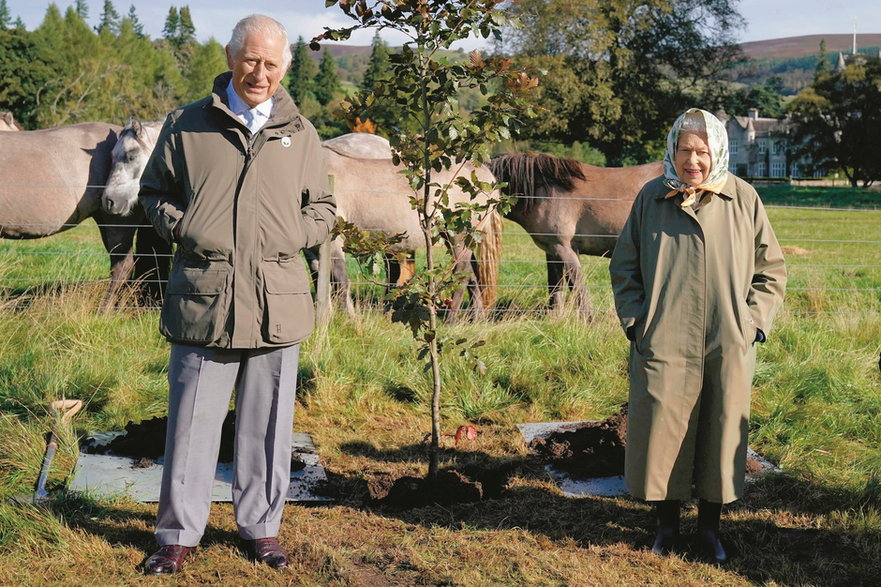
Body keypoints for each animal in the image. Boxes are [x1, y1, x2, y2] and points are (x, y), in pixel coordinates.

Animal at [488, 152, 660, 316]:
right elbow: (556, 290)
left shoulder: (565, 249)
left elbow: (578, 289)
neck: (544, 192)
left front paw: (589, 321)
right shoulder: (552, 252)